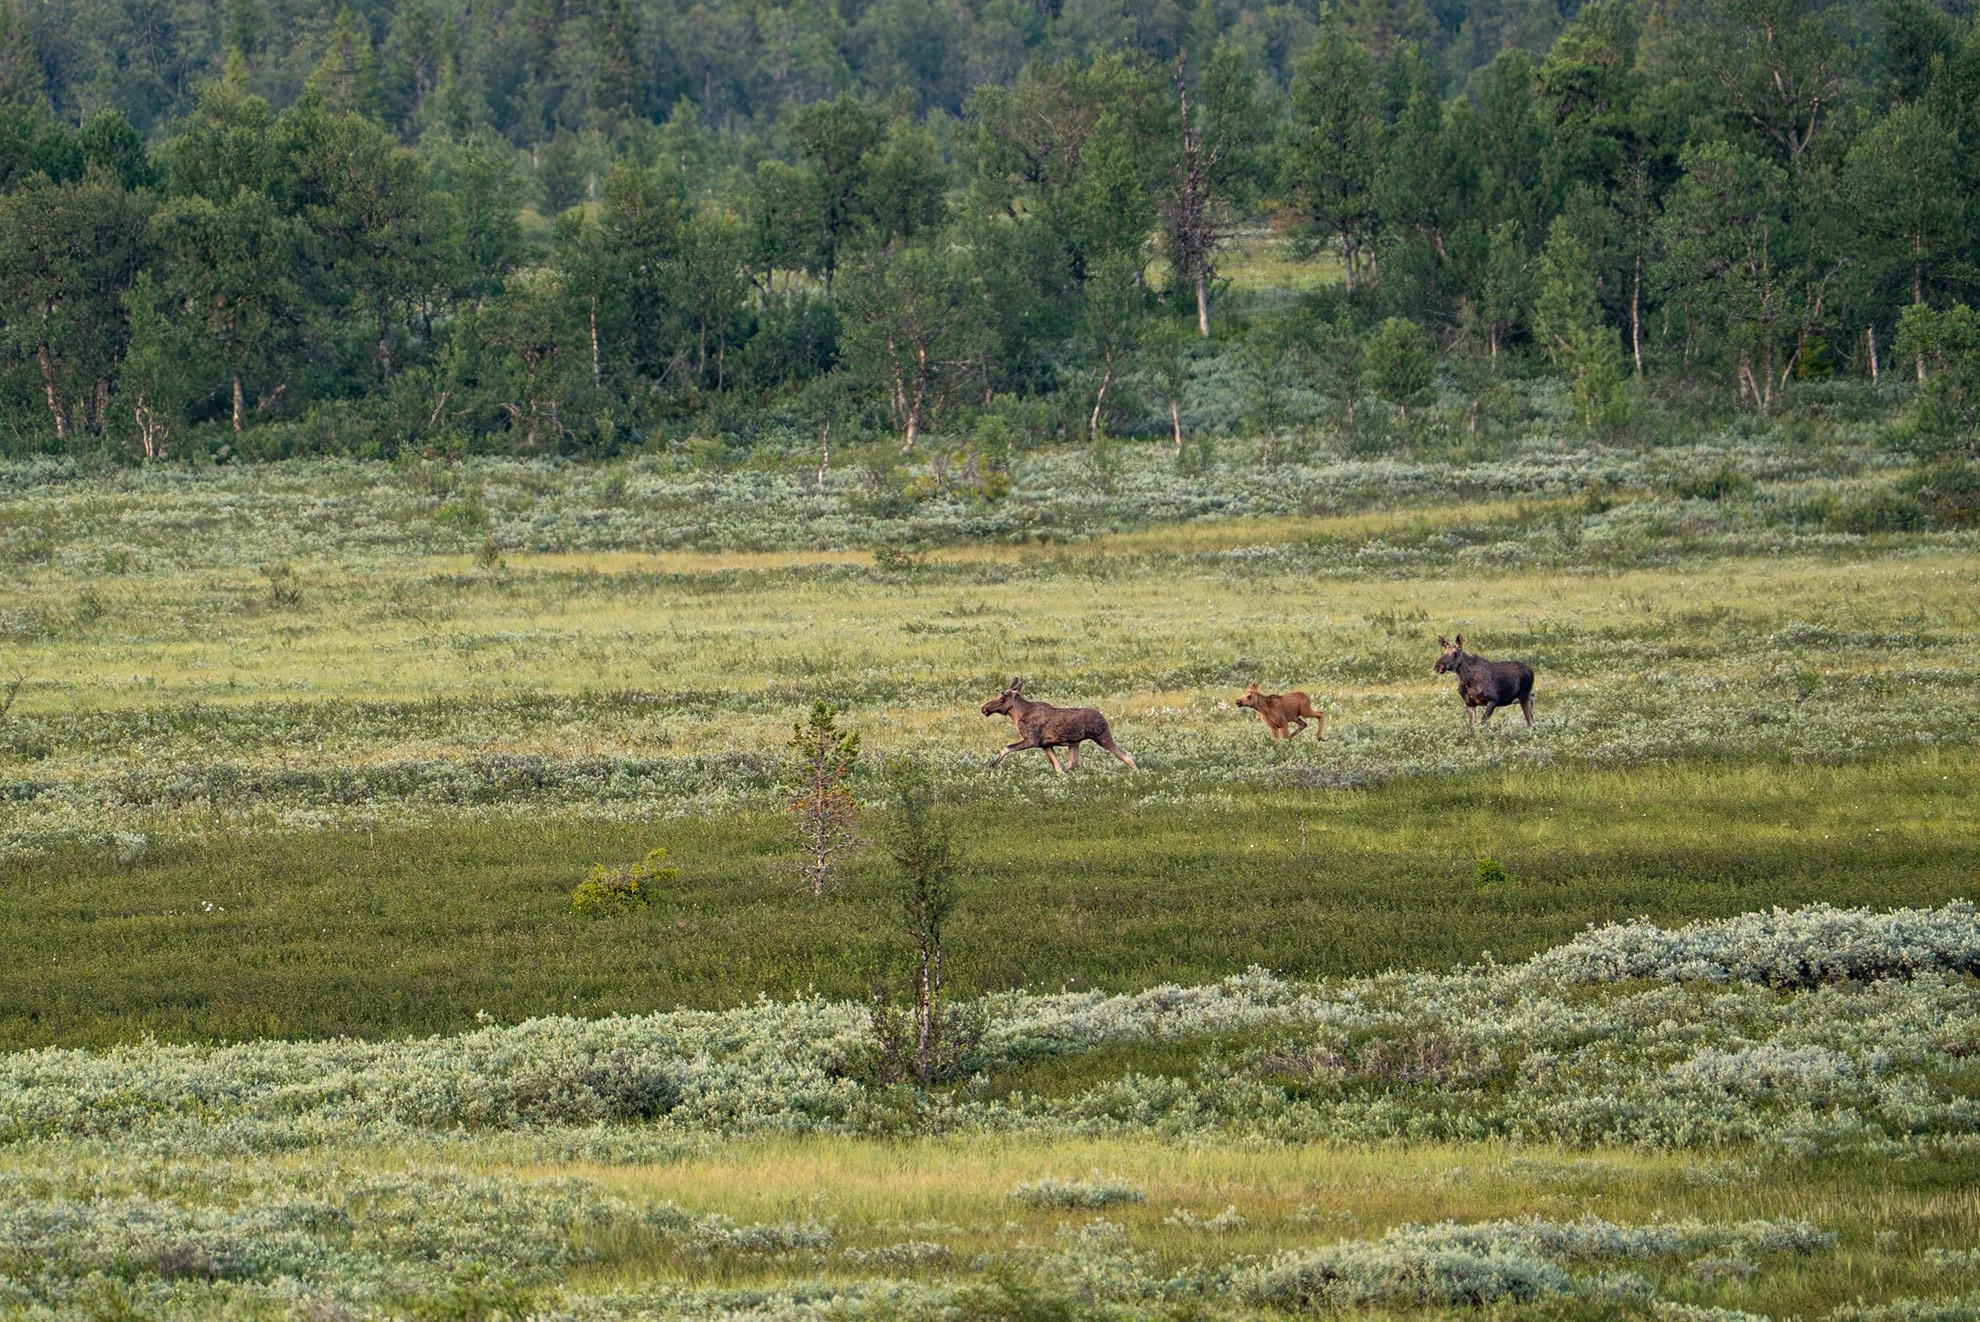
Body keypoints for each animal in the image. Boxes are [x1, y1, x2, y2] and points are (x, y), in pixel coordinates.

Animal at [980, 678, 1136, 774]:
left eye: (1001, 698)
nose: (984, 708)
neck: (1017, 715)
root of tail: (1103, 717)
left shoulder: (1032, 740)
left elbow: (1006, 748)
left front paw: (991, 766)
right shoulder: (1045, 745)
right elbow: (1058, 768)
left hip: (1102, 737)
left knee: (1126, 755)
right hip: (1074, 743)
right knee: (1072, 764)